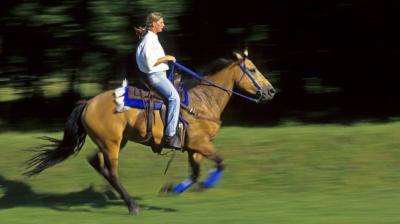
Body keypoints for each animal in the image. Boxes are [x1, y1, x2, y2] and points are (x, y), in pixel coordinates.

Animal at [24, 50, 276, 214]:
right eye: (252, 69)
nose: (271, 91)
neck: (203, 102)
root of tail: (87, 103)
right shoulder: (201, 144)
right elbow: (221, 163)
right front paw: (202, 186)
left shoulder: (193, 148)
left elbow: (195, 173)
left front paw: (171, 189)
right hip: (111, 143)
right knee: (111, 171)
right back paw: (132, 205)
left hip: (115, 142)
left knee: (96, 162)